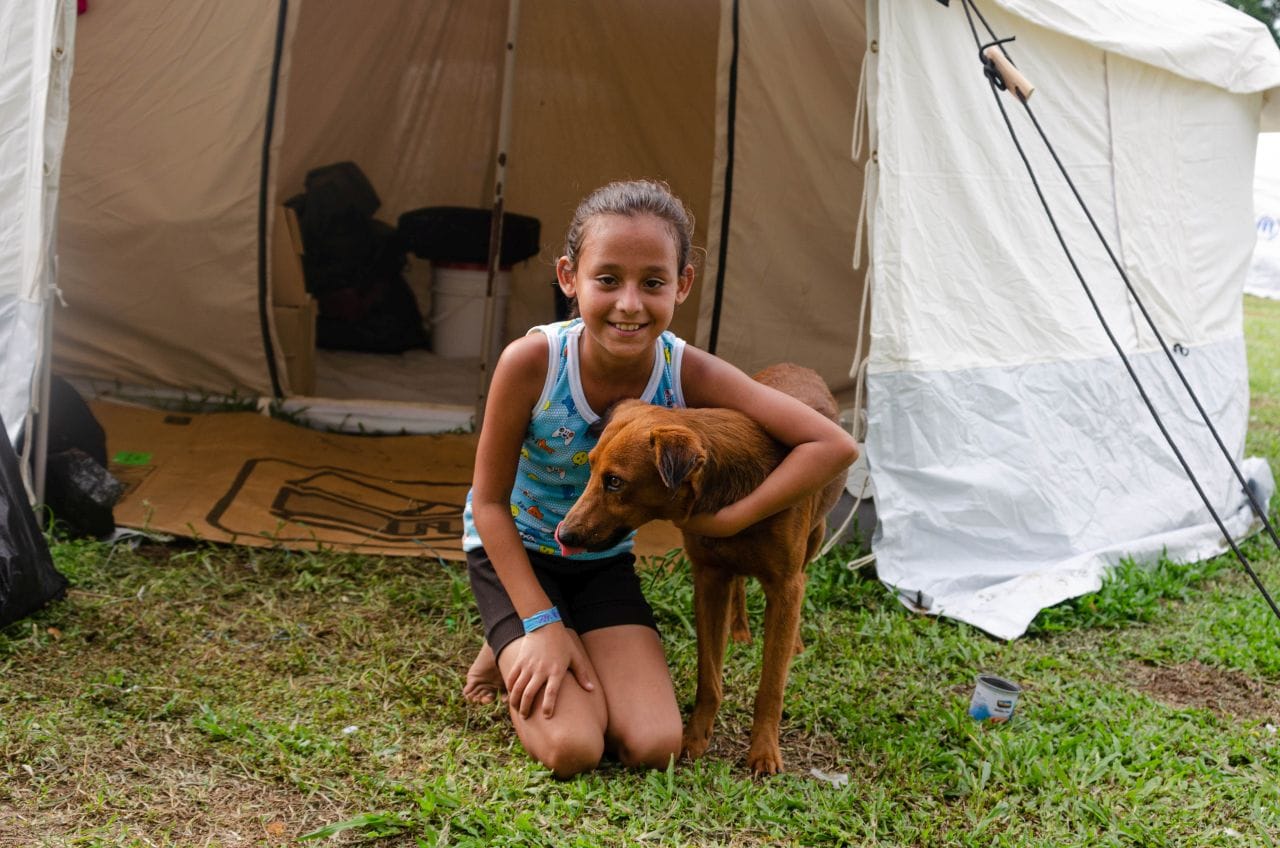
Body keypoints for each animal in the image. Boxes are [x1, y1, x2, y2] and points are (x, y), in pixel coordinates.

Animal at [555, 366, 844, 778]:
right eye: (591, 467)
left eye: (615, 481)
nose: (563, 535)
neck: (730, 489)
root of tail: (796, 367)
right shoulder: (708, 580)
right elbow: (709, 677)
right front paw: (694, 740)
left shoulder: (785, 585)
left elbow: (771, 685)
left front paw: (764, 750)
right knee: (739, 582)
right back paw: (739, 631)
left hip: (815, 539)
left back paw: (794, 643)